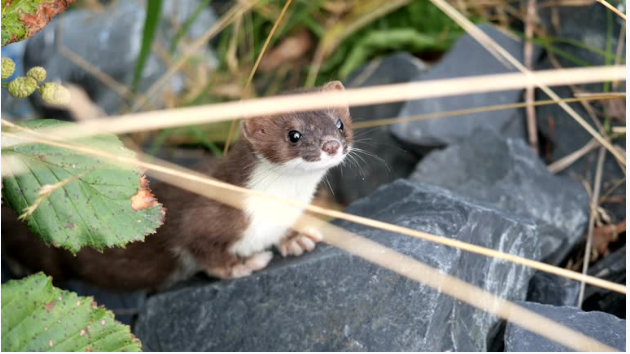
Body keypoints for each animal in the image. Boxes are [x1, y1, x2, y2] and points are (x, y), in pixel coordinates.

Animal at [1, 81, 356, 290]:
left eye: (339, 123)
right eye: (293, 134)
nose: (331, 145)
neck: (277, 205)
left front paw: (297, 238)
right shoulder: (204, 220)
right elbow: (203, 253)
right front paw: (246, 264)